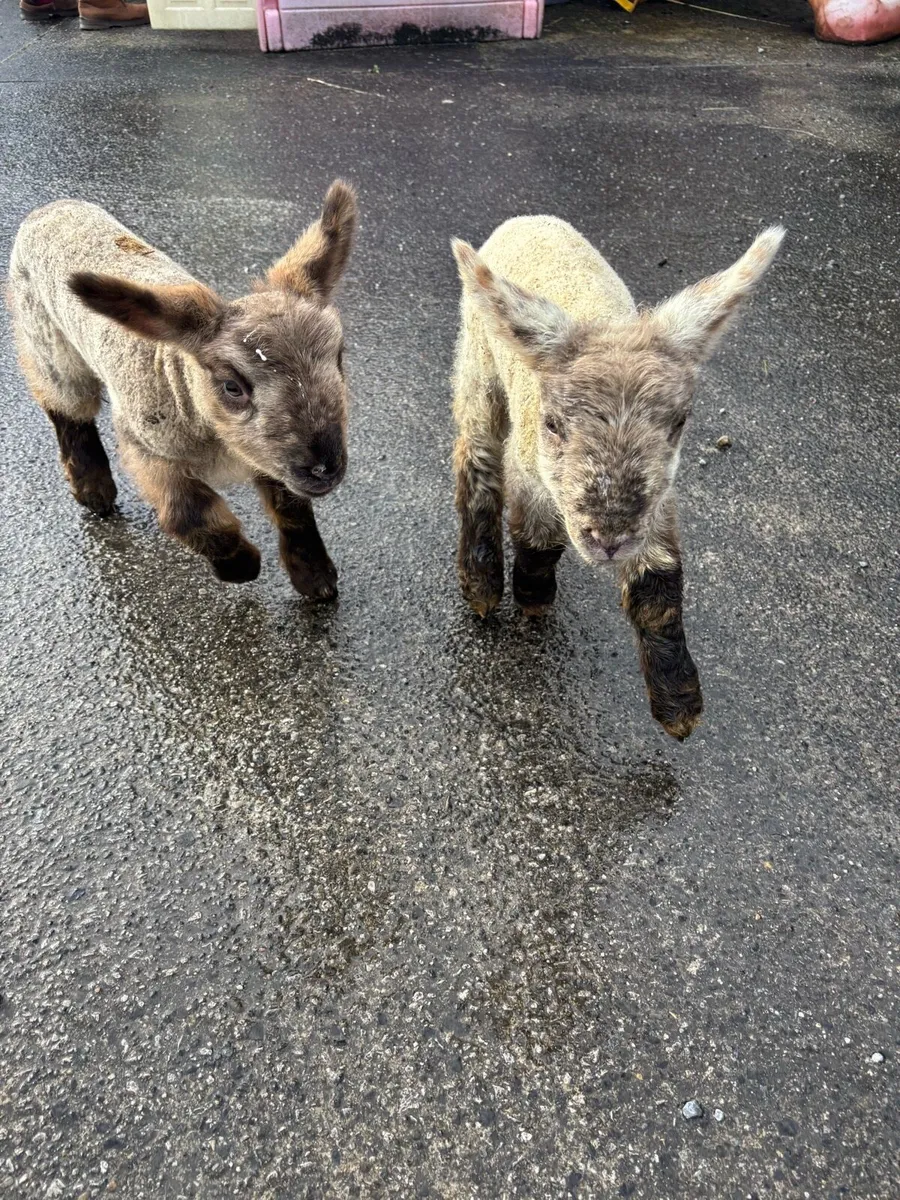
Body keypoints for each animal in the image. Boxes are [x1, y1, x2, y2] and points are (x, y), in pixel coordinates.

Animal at [7, 181, 357, 600]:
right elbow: (188, 514)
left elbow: (292, 507)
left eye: (339, 357)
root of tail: (51, 208)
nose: (325, 469)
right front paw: (240, 566)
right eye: (231, 386)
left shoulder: (269, 453)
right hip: (45, 339)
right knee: (67, 410)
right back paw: (93, 490)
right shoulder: (147, 449)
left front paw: (314, 576)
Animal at [450, 216, 784, 740]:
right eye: (552, 424)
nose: (609, 540)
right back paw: (481, 583)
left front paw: (678, 705)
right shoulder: (532, 472)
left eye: (679, 423)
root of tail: (529, 219)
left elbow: (657, 584)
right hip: (478, 359)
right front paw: (531, 594)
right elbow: (539, 536)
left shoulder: (658, 499)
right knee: (477, 453)